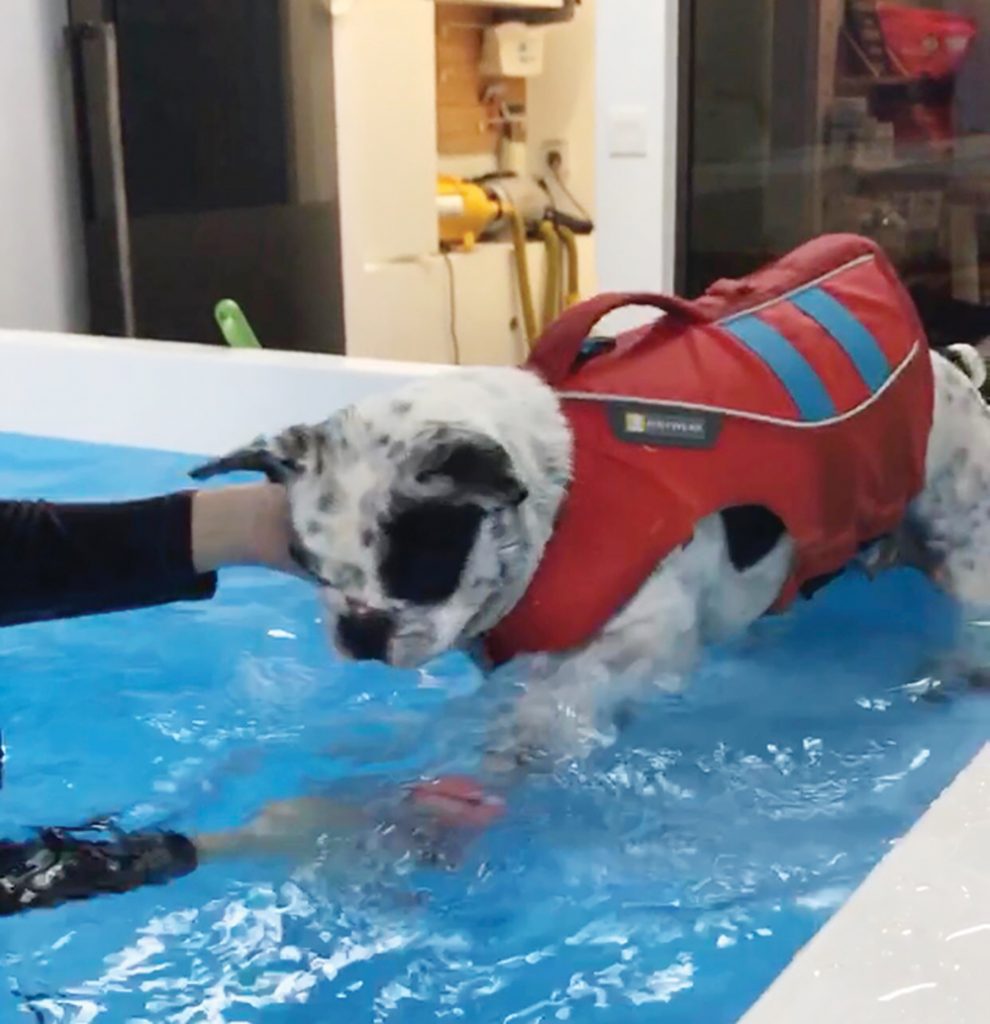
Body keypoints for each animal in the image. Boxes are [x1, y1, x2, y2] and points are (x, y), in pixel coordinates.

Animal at [191, 237, 990, 770]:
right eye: (310, 567)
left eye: (419, 563)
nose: (358, 629)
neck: (554, 504)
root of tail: (948, 365)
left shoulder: (642, 633)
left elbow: (560, 699)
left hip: (966, 544)